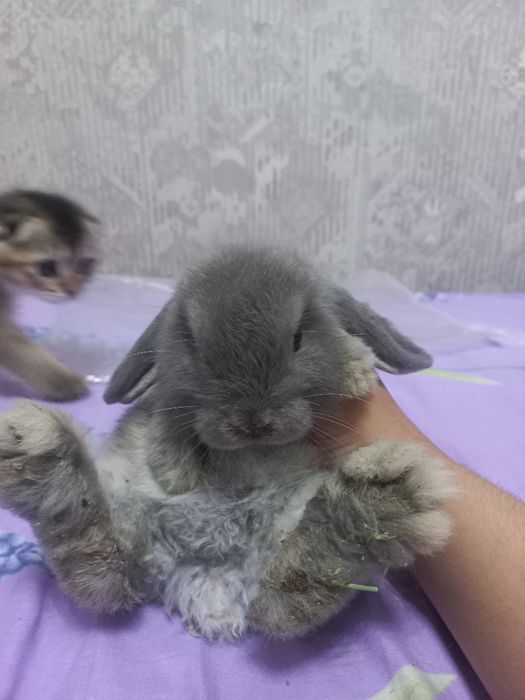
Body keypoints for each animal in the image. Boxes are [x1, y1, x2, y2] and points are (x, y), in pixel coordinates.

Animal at [0, 246, 456, 640]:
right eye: (194, 344)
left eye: (297, 338)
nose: (251, 422)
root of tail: (208, 580)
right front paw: (175, 469)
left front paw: (357, 368)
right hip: (126, 502)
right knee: (102, 565)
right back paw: (37, 454)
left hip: (287, 527)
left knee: (289, 596)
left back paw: (379, 502)